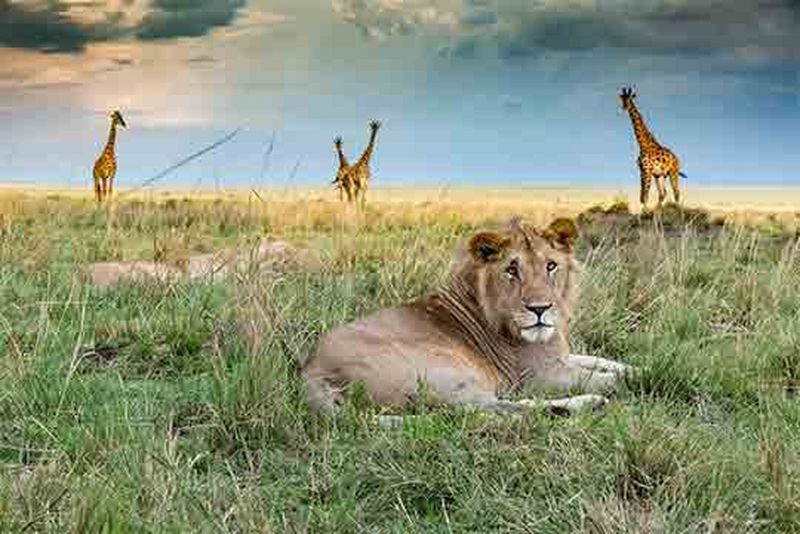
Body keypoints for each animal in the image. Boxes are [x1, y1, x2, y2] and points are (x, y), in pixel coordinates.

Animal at [302, 216, 631, 417]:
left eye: (551, 265)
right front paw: (634, 378)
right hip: (453, 371)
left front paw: (631, 366)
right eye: (512, 270)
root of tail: (310, 370)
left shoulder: (560, 357)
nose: (540, 309)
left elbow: (603, 361)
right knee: (487, 411)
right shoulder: (540, 376)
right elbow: (608, 379)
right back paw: (586, 404)